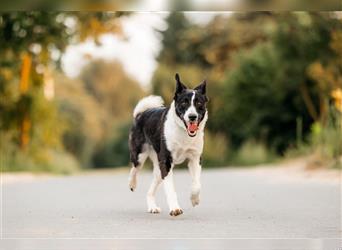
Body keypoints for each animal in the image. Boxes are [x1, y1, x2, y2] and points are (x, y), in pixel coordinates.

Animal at [128, 73, 208, 216]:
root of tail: (141, 114)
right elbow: (170, 189)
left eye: (199, 103)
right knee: (134, 168)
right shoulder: (166, 162)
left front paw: (194, 199)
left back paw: (152, 207)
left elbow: (196, 184)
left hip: (158, 170)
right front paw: (175, 208)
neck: (183, 132)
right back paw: (132, 184)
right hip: (140, 156)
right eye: (184, 103)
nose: (192, 116)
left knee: (150, 190)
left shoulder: (195, 159)